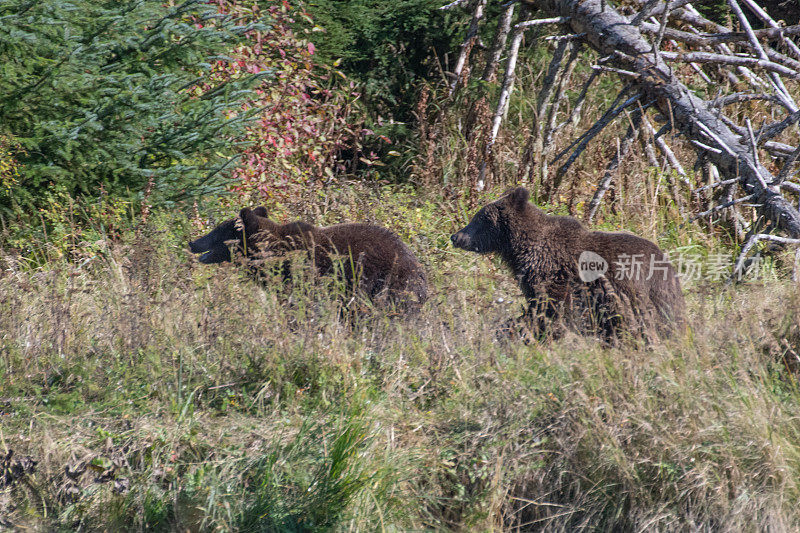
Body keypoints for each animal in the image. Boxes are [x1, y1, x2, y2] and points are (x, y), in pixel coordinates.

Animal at [454, 187, 684, 336]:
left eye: (479, 218)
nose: (455, 236)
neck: (518, 248)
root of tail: (668, 266)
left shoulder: (551, 275)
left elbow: (549, 307)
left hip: (635, 292)